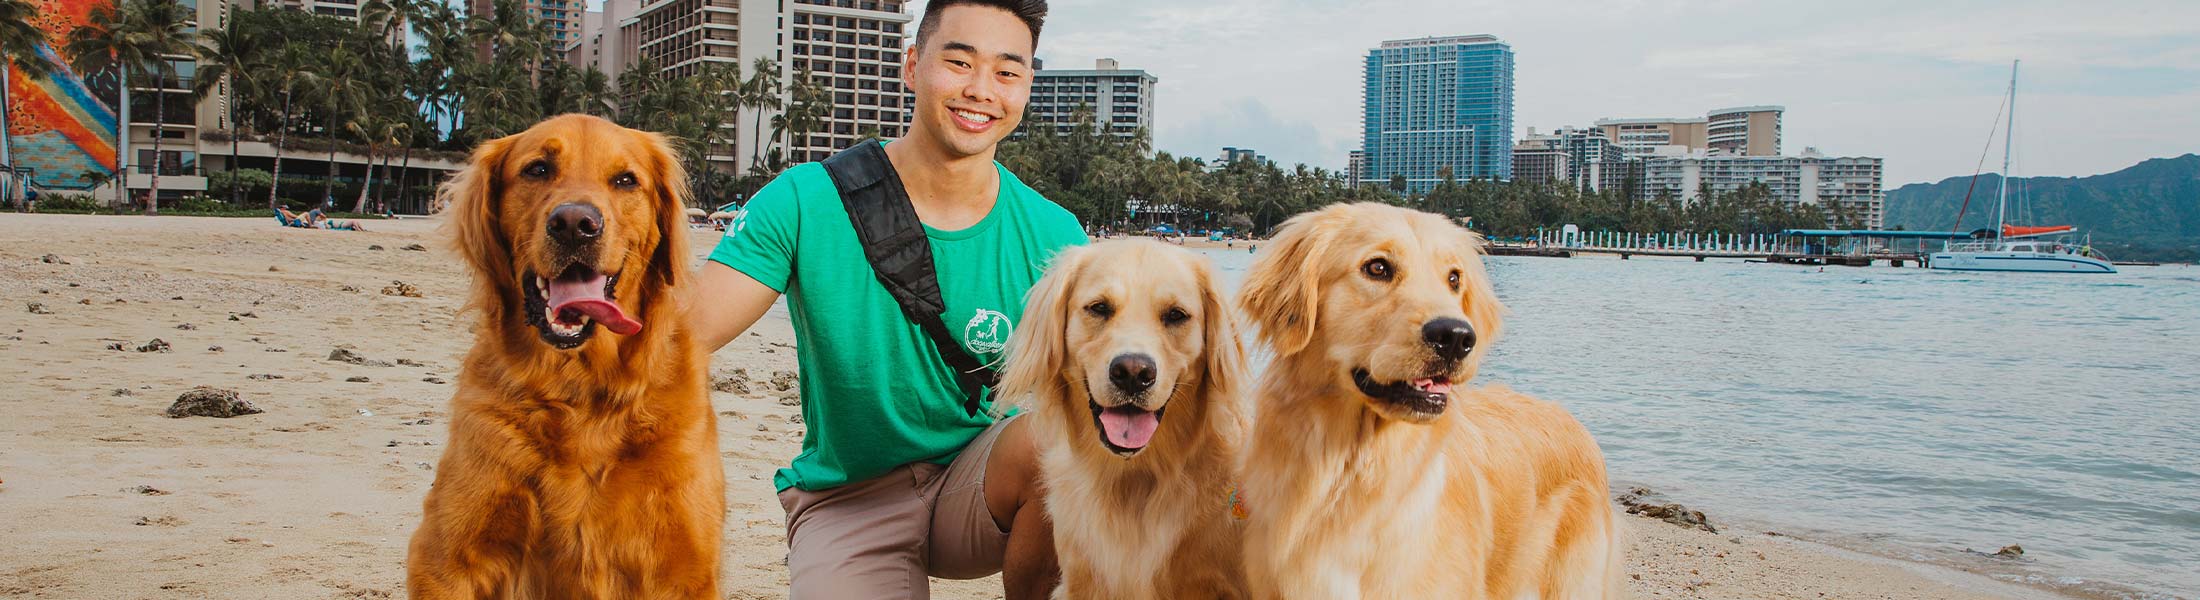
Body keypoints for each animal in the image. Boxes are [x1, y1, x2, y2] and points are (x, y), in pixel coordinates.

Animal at [404, 114, 721, 593]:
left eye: (625, 180)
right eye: (537, 169)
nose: (575, 224)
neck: (580, 389)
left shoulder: (684, 567)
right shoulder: (448, 558)